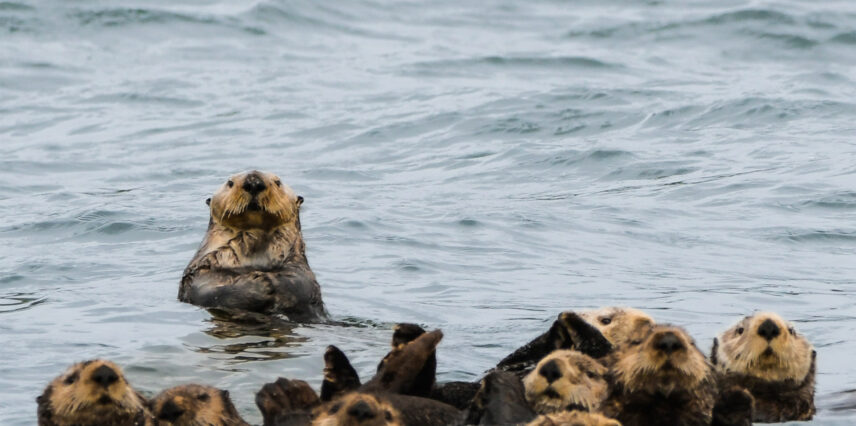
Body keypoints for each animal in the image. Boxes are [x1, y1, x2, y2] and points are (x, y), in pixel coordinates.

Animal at [179, 170, 326, 322]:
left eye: (278, 182)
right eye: (230, 183)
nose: (254, 183)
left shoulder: (299, 267)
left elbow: (301, 285)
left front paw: (270, 279)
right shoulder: (201, 270)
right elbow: (207, 290)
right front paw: (261, 283)